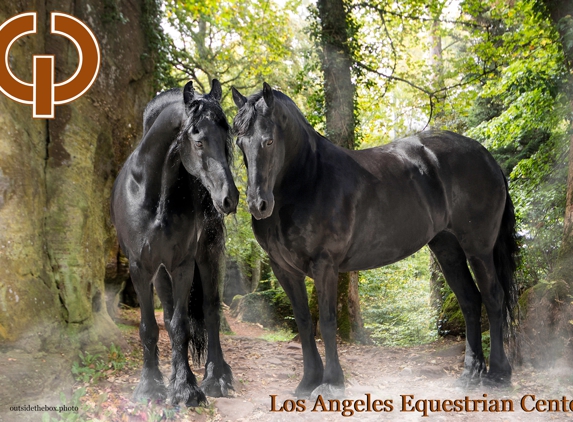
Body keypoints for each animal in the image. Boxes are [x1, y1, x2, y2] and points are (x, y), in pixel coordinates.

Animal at [110, 79, 238, 406]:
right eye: (198, 139)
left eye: (226, 135)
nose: (229, 198)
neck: (155, 194)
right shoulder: (141, 267)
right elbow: (151, 327)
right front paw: (151, 386)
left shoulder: (182, 265)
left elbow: (181, 327)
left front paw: (187, 389)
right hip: (160, 272)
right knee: (168, 316)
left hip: (207, 257)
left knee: (210, 311)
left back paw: (216, 377)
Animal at [231, 83, 520, 398]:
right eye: (240, 144)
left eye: (269, 141)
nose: (258, 205)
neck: (308, 180)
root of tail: (487, 157)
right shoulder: (283, 269)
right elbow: (305, 322)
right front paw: (308, 382)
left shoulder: (325, 265)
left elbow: (328, 322)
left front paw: (332, 383)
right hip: (447, 249)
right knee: (470, 301)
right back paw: (469, 374)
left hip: (478, 248)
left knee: (493, 297)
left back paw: (498, 375)